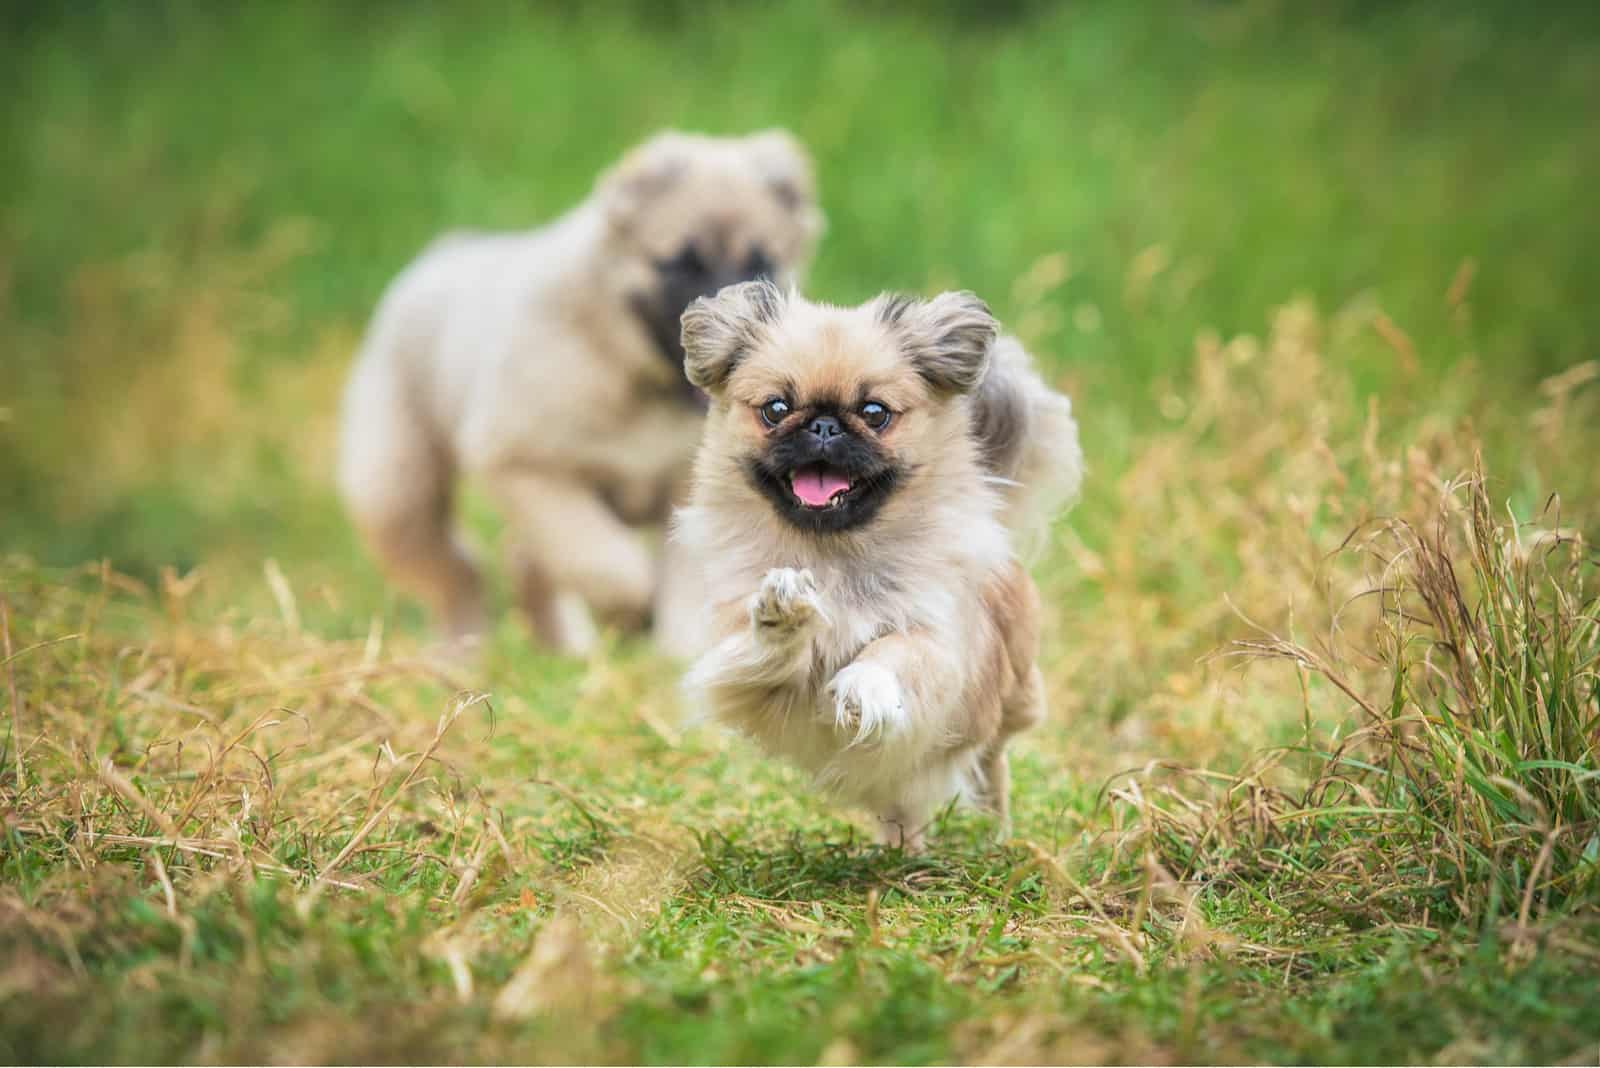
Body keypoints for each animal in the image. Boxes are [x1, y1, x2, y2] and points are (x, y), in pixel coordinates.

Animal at [339, 130, 825, 655]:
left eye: (762, 263)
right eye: (681, 263)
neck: (637, 382)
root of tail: (443, 252)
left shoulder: (691, 492)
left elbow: (681, 582)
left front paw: (678, 653)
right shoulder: (528, 468)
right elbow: (605, 561)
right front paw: (631, 612)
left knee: (522, 562)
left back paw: (560, 650)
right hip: (395, 491)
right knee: (458, 570)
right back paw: (465, 650)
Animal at [668, 279, 1081, 844]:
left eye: (873, 413)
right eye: (776, 409)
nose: (823, 425)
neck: (834, 555)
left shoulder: (938, 640)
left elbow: (895, 651)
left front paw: (863, 686)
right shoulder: (738, 666)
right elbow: (767, 650)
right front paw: (785, 614)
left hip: (1006, 704)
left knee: (990, 767)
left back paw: (993, 834)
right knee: (903, 811)